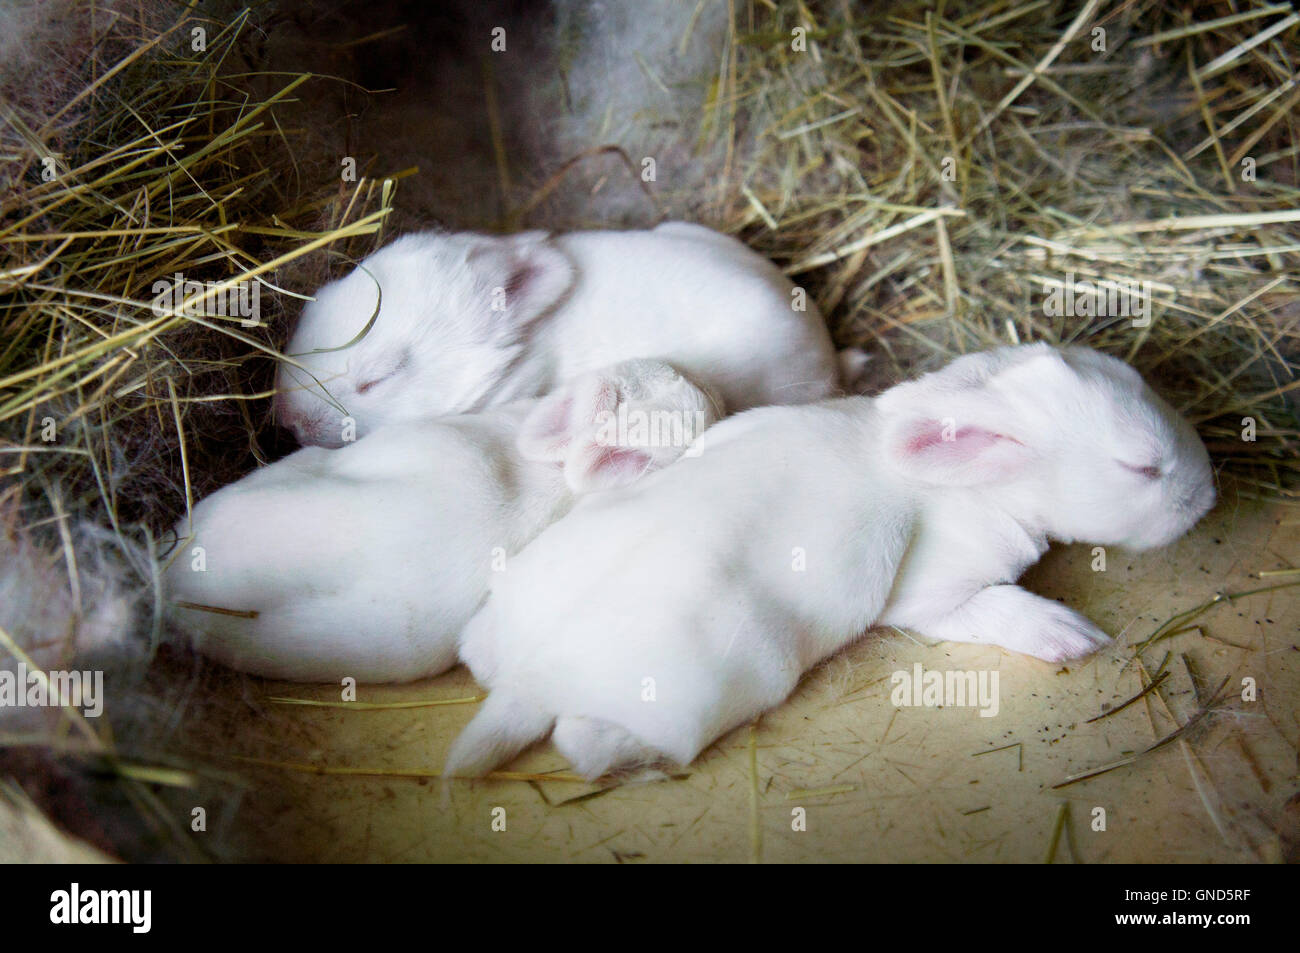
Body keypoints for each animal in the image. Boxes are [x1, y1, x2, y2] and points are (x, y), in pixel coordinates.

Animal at [444, 343, 1217, 780]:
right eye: (1142, 466)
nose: (1208, 495)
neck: (972, 486)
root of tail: (527, 681)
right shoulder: (930, 594)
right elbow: (992, 608)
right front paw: (1071, 634)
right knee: (581, 745)